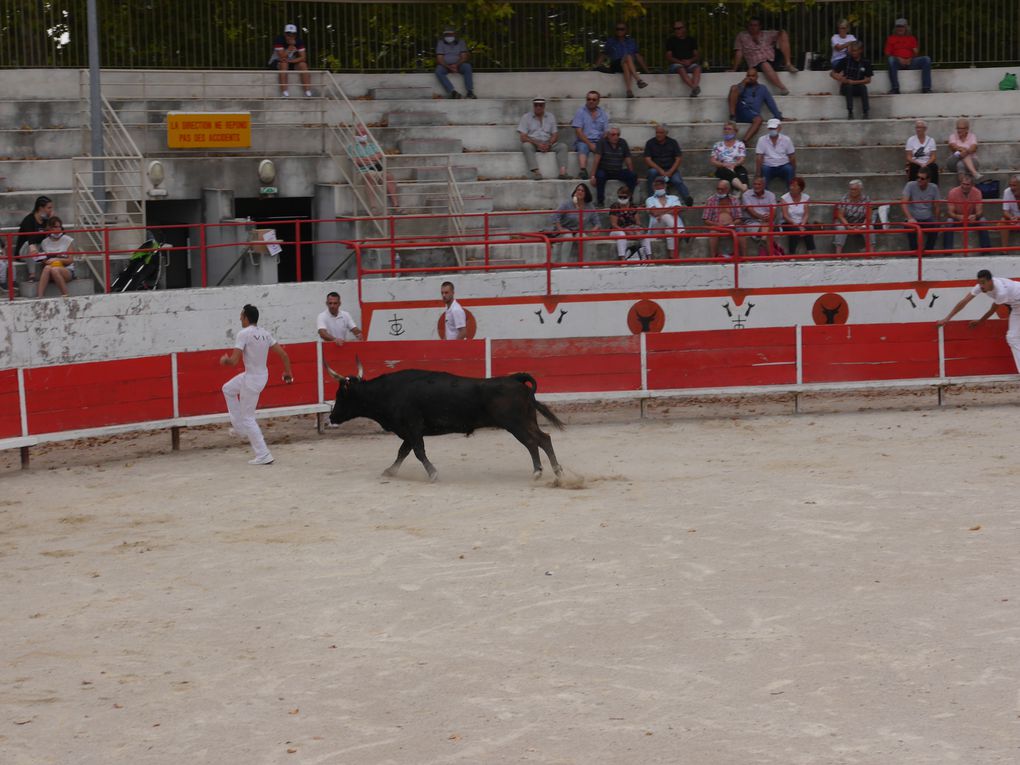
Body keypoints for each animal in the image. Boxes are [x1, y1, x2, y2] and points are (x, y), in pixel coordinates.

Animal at [324, 365, 563, 479]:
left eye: (341, 395)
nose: (331, 417)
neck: (387, 392)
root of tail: (515, 379)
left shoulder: (412, 427)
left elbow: (418, 452)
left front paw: (433, 473)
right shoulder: (410, 431)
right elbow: (403, 452)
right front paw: (390, 471)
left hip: (516, 424)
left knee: (533, 442)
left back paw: (539, 471)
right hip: (526, 421)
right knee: (543, 439)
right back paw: (555, 470)